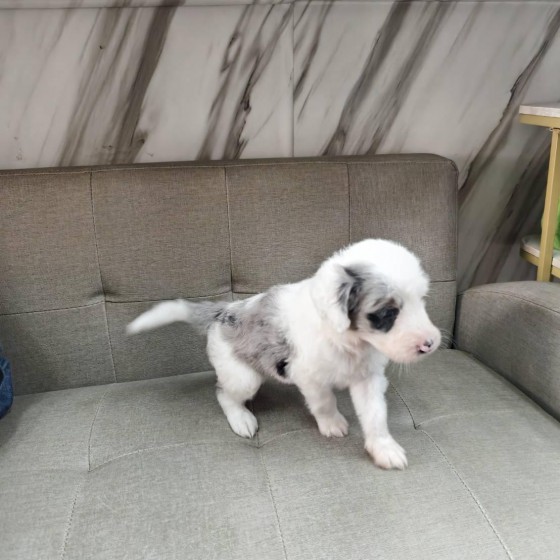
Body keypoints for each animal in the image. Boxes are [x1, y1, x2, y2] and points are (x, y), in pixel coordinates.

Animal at [127, 239, 440, 469]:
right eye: (387, 313)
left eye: (422, 301)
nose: (431, 343)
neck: (350, 341)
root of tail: (223, 312)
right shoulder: (310, 378)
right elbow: (324, 403)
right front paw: (333, 424)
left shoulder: (368, 379)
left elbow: (376, 415)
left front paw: (384, 448)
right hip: (242, 377)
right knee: (223, 394)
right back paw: (241, 419)